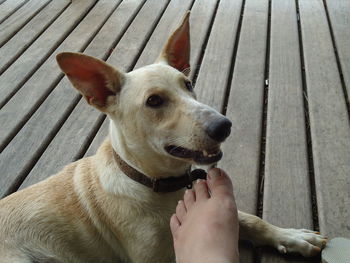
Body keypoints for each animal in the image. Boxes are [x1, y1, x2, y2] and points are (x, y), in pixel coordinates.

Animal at [1, 12, 326, 263]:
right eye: (154, 101)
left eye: (188, 83)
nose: (224, 125)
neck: (153, 182)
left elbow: (249, 218)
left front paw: (293, 237)